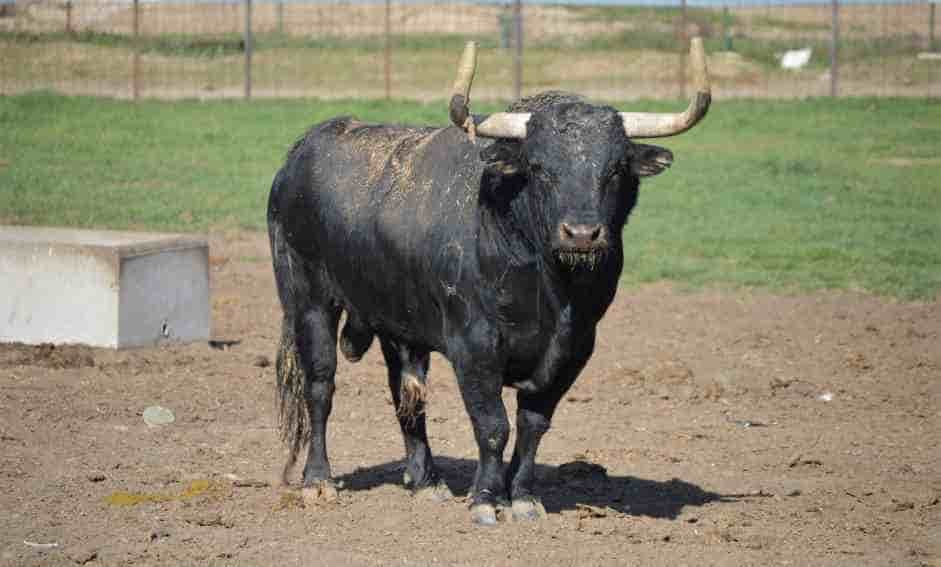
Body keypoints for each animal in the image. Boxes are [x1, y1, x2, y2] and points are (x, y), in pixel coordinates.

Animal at [268, 39, 711, 525]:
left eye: (615, 168)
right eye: (539, 166)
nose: (581, 233)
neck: (550, 288)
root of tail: (303, 151)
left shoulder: (575, 348)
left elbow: (533, 425)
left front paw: (522, 497)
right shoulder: (473, 345)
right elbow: (492, 424)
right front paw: (485, 498)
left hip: (397, 321)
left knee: (407, 394)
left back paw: (426, 481)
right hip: (309, 300)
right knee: (320, 386)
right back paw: (318, 481)